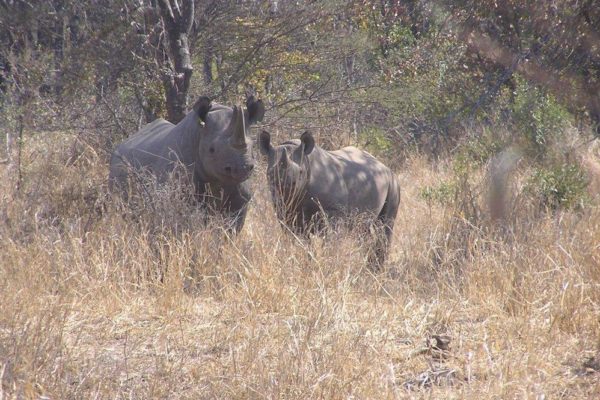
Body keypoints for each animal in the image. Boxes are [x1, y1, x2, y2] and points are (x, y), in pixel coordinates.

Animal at [260, 131, 400, 268]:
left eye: (300, 172)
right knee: (363, 230)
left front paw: (327, 263)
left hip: (392, 182)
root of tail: (384, 166)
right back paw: (369, 267)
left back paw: (377, 268)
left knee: (385, 226)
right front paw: (304, 264)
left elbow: (329, 239)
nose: (286, 187)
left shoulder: (333, 211)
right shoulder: (285, 212)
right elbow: (299, 242)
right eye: (269, 173)